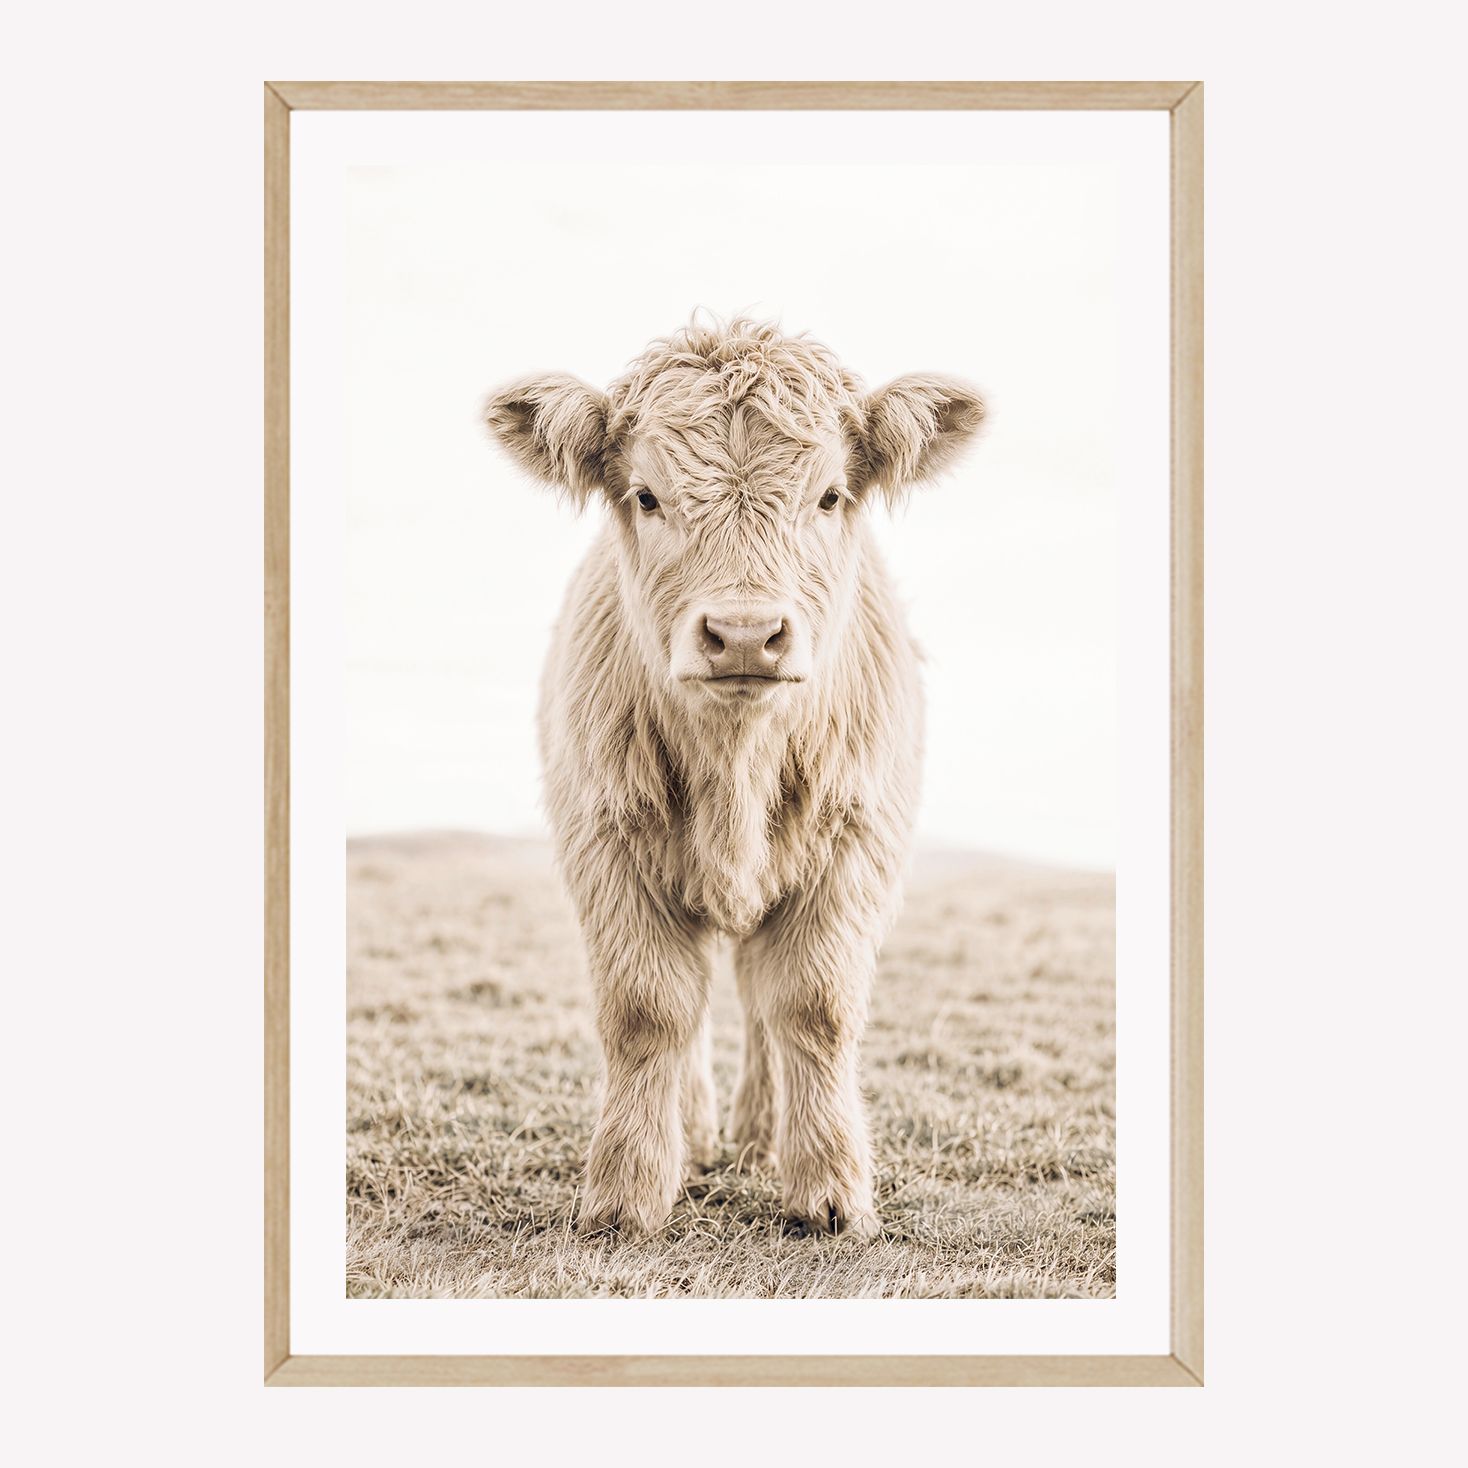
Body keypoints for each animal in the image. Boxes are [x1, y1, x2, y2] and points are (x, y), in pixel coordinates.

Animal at [485, 317, 985, 1238]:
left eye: (829, 496)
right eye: (646, 496)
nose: (746, 635)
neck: (737, 769)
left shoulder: (854, 844)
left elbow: (811, 1006)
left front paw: (828, 1190)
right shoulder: (606, 843)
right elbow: (650, 1011)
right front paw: (629, 1192)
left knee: (759, 997)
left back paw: (759, 1134)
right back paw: (698, 1132)